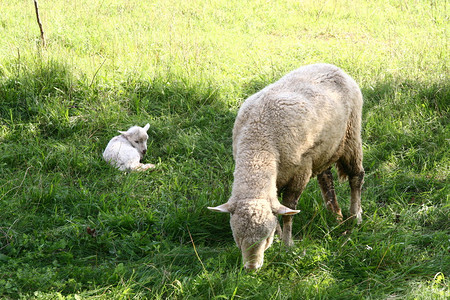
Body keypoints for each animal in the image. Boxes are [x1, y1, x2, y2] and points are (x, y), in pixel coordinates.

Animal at [209, 62, 364, 270]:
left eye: (266, 238)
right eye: (237, 238)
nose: (251, 268)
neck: (258, 142)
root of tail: (332, 66)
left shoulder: (301, 170)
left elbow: (289, 210)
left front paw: (286, 245)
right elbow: (278, 210)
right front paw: (281, 237)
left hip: (351, 136)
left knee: (356, 177)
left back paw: (355, 217)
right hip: (325, 150)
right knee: (326, 180)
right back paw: (335, 215)